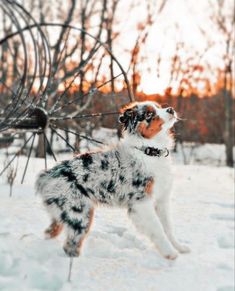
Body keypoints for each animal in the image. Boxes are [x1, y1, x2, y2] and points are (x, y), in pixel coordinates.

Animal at [35, 102, 189, 260]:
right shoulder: (141, 202)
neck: (149, 151)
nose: (171, 109)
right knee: (70, 245)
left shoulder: (161, 200)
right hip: (80, 213)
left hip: (64, 214)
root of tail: (47, 176)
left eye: (159, 106)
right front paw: (170, 253)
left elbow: (168, 227)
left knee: (51, 232)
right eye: (149, 114)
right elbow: (157, 229)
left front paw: (179, 247)